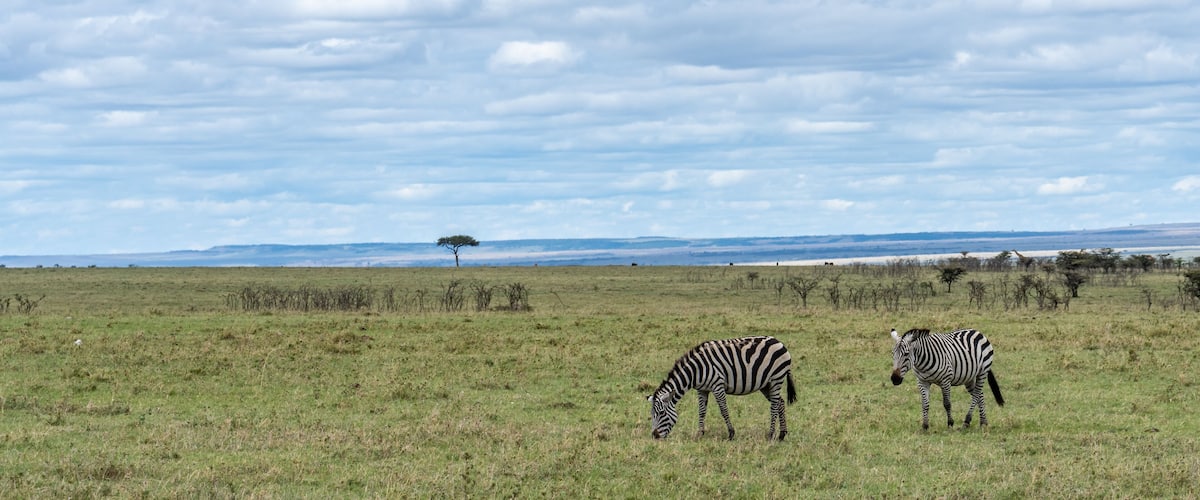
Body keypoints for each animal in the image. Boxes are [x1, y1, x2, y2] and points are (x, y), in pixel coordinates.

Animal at [647, 336, 797, 440]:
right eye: (651, 414)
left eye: (661, 413)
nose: (655, 436)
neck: (696, 370)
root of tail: (779, 342)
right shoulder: (702, 389)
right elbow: (701, 411)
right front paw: (700, 433)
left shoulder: (717, 385)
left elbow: (724, 410)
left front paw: (731, 433)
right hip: (766, 385)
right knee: (780, 402)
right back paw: (782, 434)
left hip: (776, 379)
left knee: (774, 406)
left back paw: (771, 434)